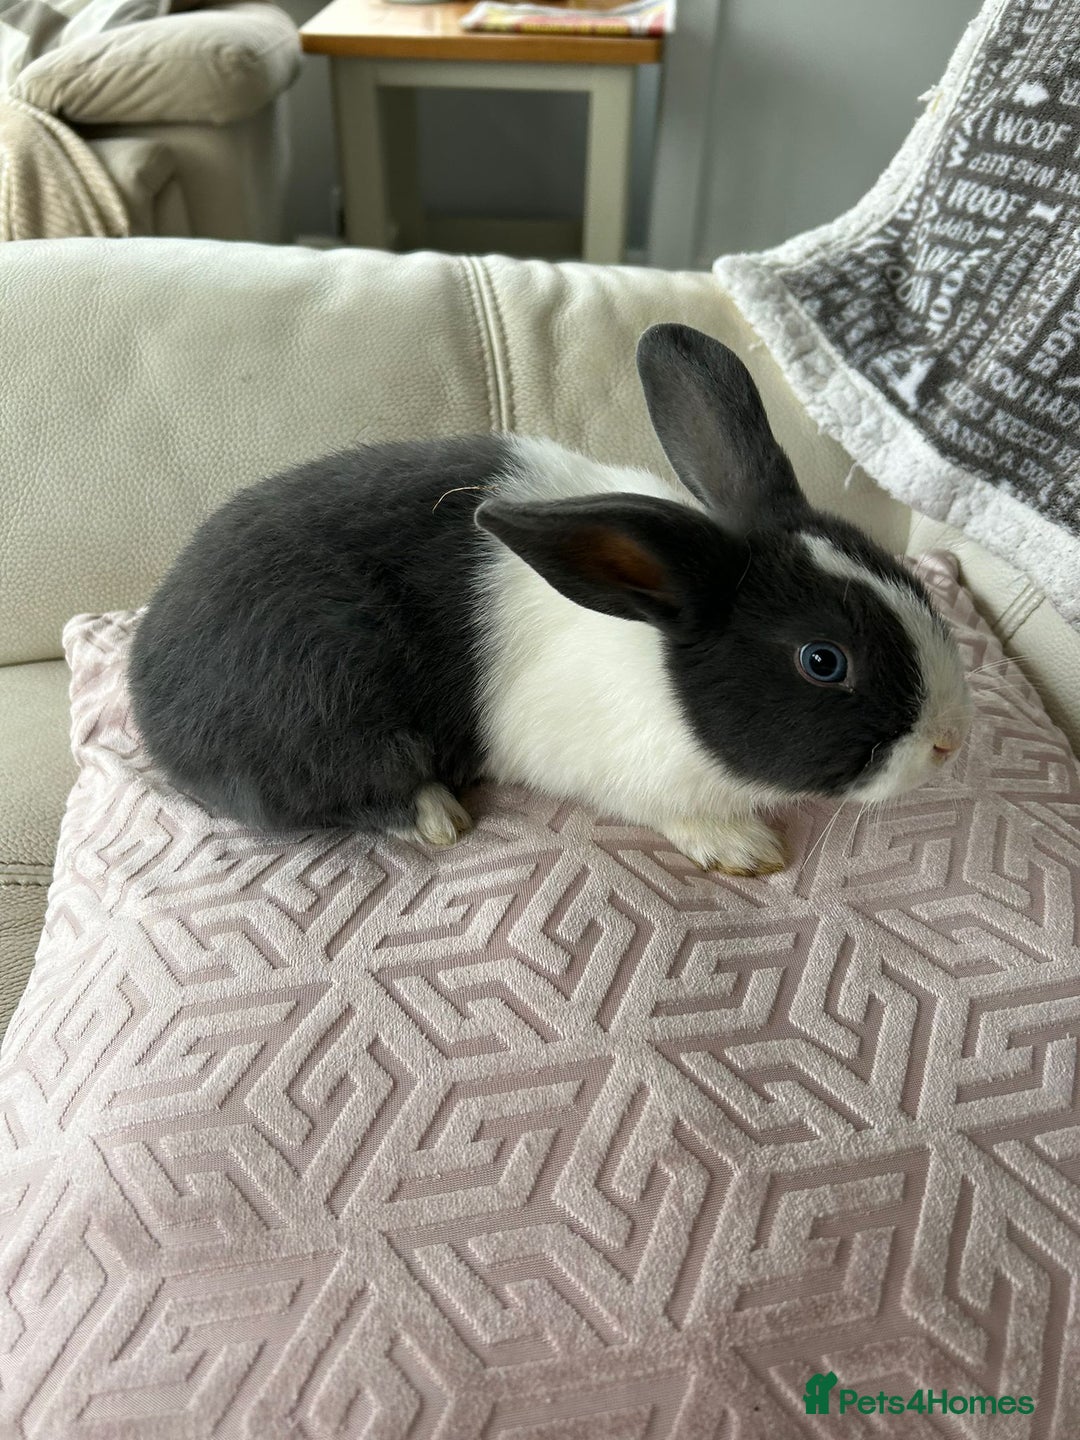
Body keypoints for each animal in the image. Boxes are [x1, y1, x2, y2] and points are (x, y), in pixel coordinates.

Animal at [127, 323, 971, 876]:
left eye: (895, 571)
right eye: (824, 661)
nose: (948, 742)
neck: (656, 644)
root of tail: (149, 693)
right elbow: (674, 811)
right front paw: (745, 848)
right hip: (328, 706)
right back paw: (434, 813)